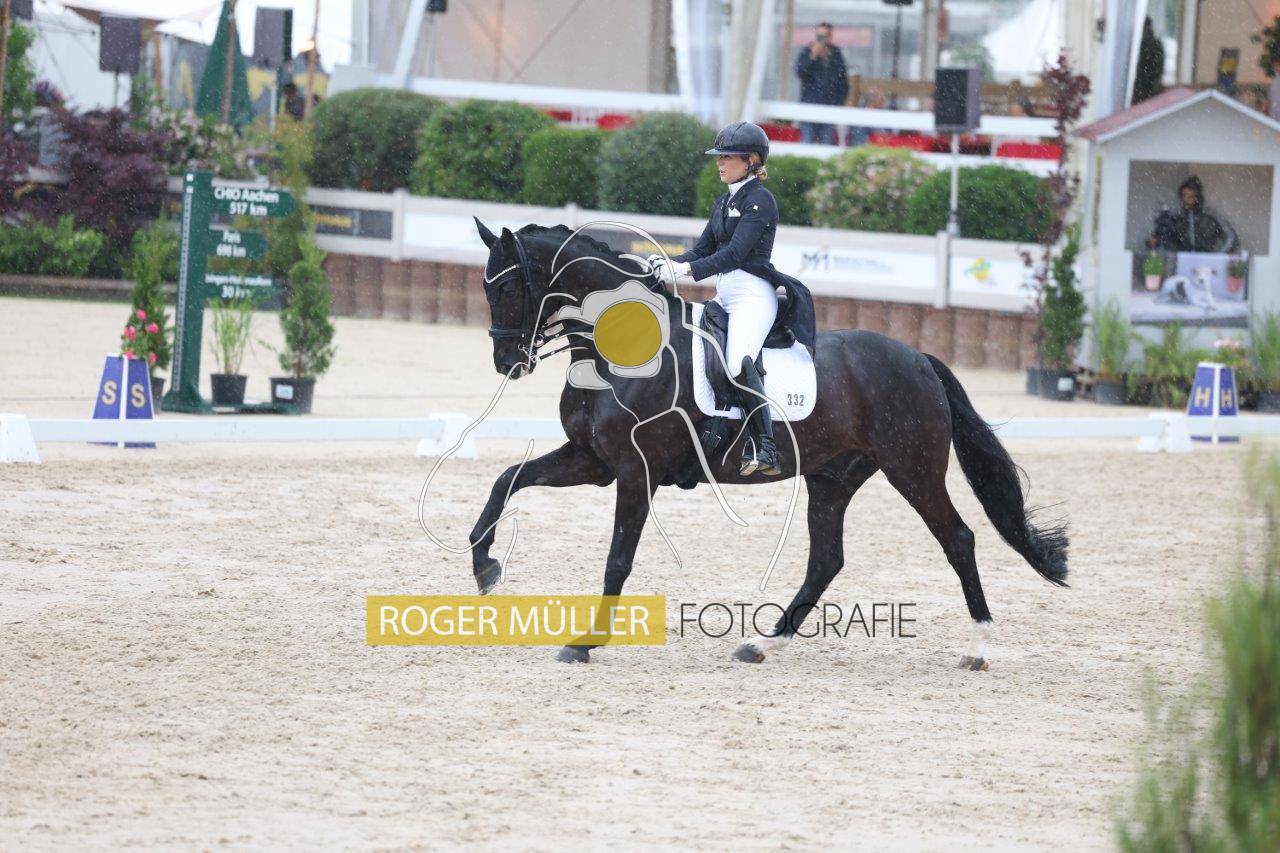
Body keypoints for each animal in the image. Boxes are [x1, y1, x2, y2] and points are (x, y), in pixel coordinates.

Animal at [465, 219, 1068, 669]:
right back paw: (761, 641)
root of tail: (918, 358)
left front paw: (584, 644)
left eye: (508, 287)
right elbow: (506, 481)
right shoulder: (593, 462)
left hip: (912, 470)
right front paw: (485, 567)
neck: (625, 350)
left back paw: (979, 647)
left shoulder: (635, 472)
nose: (506, 362)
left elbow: (618, 558)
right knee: (827, 558)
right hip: (833, 477)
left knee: (958, 539)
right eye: (487, 287)